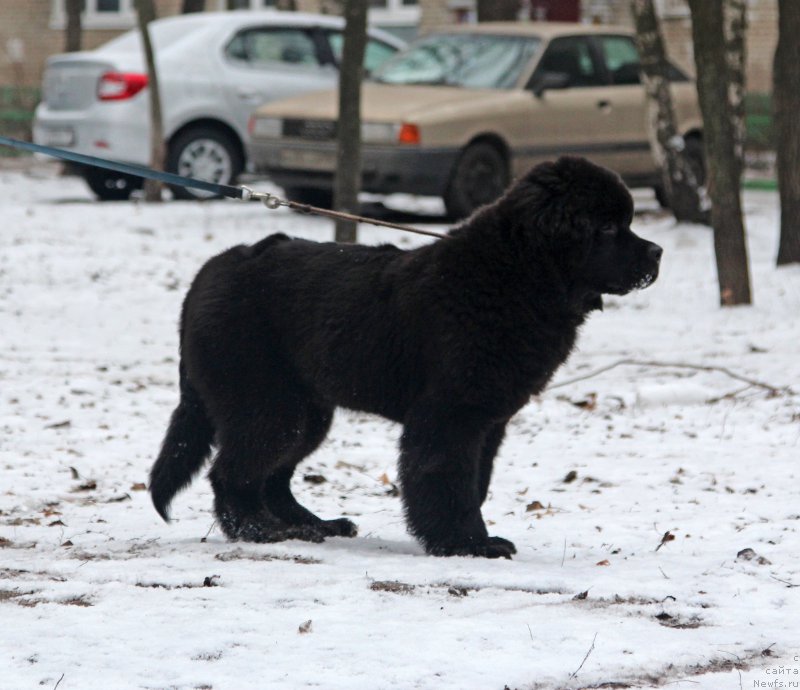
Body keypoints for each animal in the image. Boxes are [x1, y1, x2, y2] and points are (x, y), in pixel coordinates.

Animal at [150, 157, 664, 560]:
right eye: (607, 228)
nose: (657, 252)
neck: (514, 275)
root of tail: (207, 273)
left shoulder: (488, 422)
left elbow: (475, 482)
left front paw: (468, 537)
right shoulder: (449, 415)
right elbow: (447, 479)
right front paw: (467, 544)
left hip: (305, 408)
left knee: (273, 476)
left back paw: (313, 525)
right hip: (269, 404)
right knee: (233, 473)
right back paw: (262, 532)